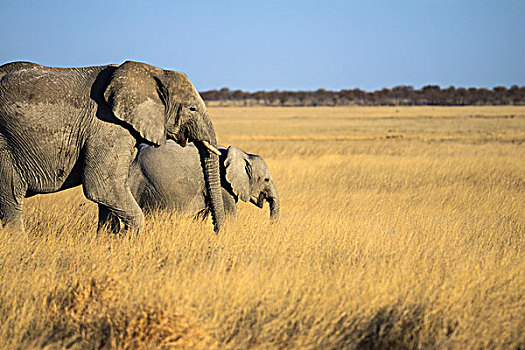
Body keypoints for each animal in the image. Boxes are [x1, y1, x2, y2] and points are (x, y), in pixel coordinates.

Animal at [0, 61, 223, 234]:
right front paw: (126, 239)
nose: (217, 232)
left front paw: (107, 240)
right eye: (192, 108)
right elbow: (101, 187)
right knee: (11, 197)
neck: (154, 72)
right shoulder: (107, 125)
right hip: (6, 144)